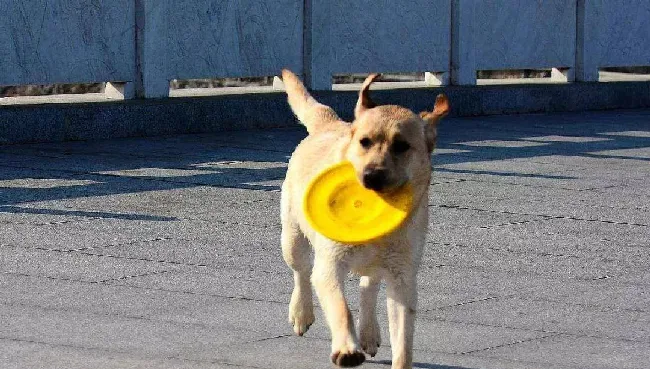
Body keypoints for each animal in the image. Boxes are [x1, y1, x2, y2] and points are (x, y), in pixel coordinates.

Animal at [278, 69, 446, 368]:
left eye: (401, 146)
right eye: (364, 142)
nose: (371, 175)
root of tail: (332, 123)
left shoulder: (403, 279)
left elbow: (404, 341)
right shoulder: (330, 266)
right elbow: (341, 308)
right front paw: (347, 349)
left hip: (381, 264)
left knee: (369, 286)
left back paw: (368, 333)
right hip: (292, 238)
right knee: (302, 272)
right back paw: (302, 312)